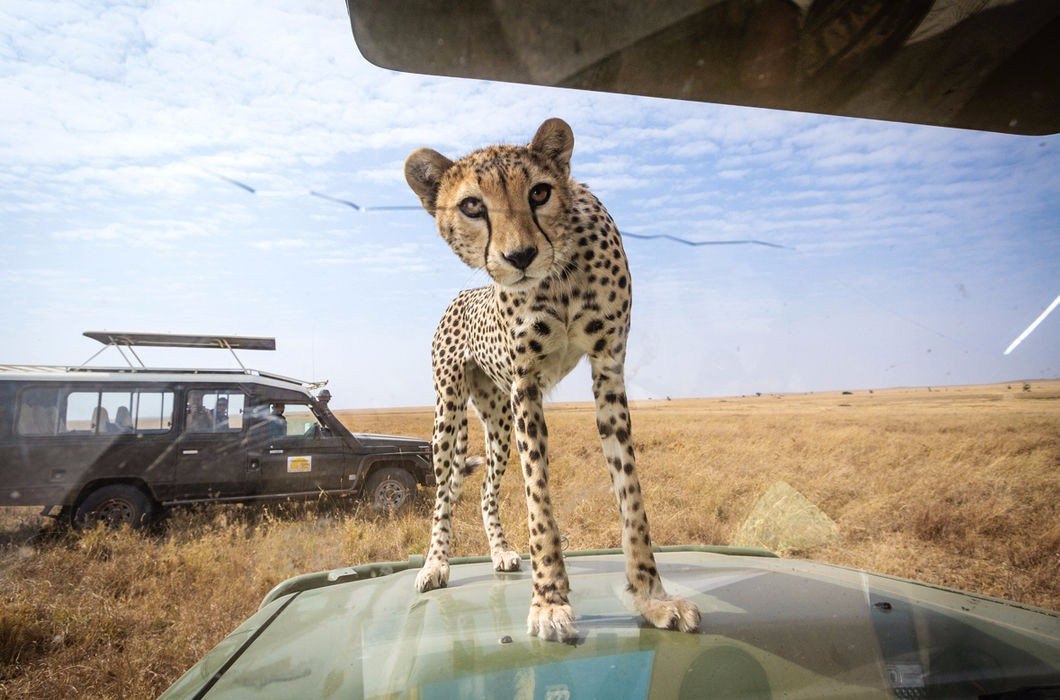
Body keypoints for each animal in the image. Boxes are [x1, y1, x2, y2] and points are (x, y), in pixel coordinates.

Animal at [400, 118, 699, 640]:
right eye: (473, 205)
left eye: (539, 192)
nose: (520, 255)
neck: (559, 276)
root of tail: (461, 295)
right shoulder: (527, 385)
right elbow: (538, 499)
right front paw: (549, 601)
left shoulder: (608, 367)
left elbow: (630, 494)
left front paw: (652, 597)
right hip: (448, 412)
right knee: (443, 492)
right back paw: (436, 564)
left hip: (498, 424)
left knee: (485, 491)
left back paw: (500, 551)